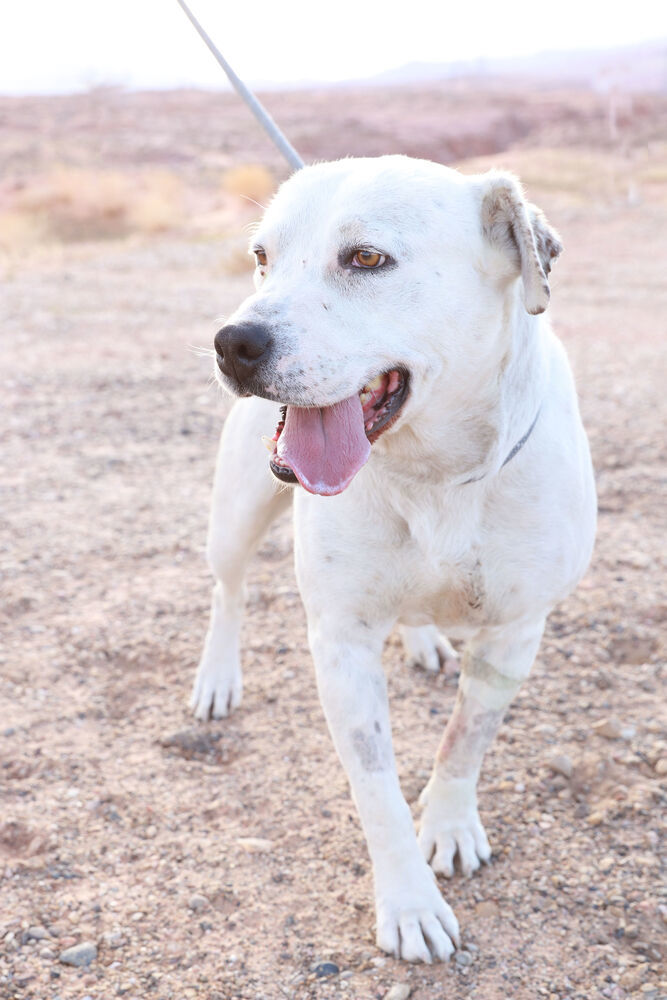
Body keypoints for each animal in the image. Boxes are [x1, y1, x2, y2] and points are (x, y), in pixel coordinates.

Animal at [190, 156, 596, 960]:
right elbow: (375, 786)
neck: (432, 475)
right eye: (262, 256)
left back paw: (423, 640)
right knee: (228, 591)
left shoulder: (516, 631)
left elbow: (465, 738)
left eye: (367, 259)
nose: (233, 342)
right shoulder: (341, 642)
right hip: (237, 513)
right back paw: (218, 677)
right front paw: (410, 903)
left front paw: (450, 824)